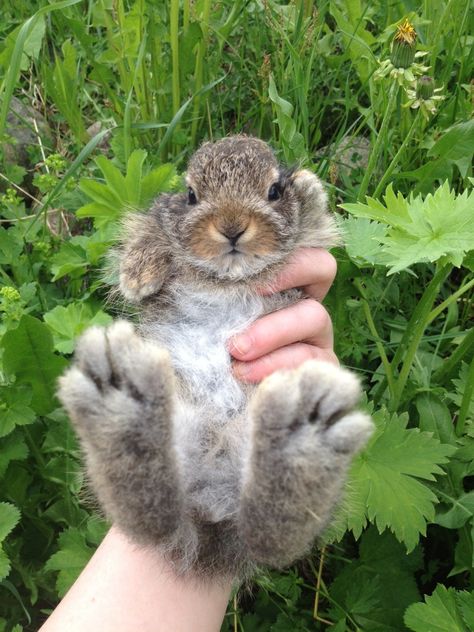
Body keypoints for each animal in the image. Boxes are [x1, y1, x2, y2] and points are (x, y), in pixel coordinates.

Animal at [59, 136, 372, 580]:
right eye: (192, 195)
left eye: (273, 191)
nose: (232, 226)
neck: (228, 276)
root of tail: (211, 524)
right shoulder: (160, 220)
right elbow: (151, 230)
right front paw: (137, 276)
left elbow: (311, 220)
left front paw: (309, 187)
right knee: (154, 517)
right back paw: (122, 406)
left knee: (269, 537)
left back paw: (301, 439)